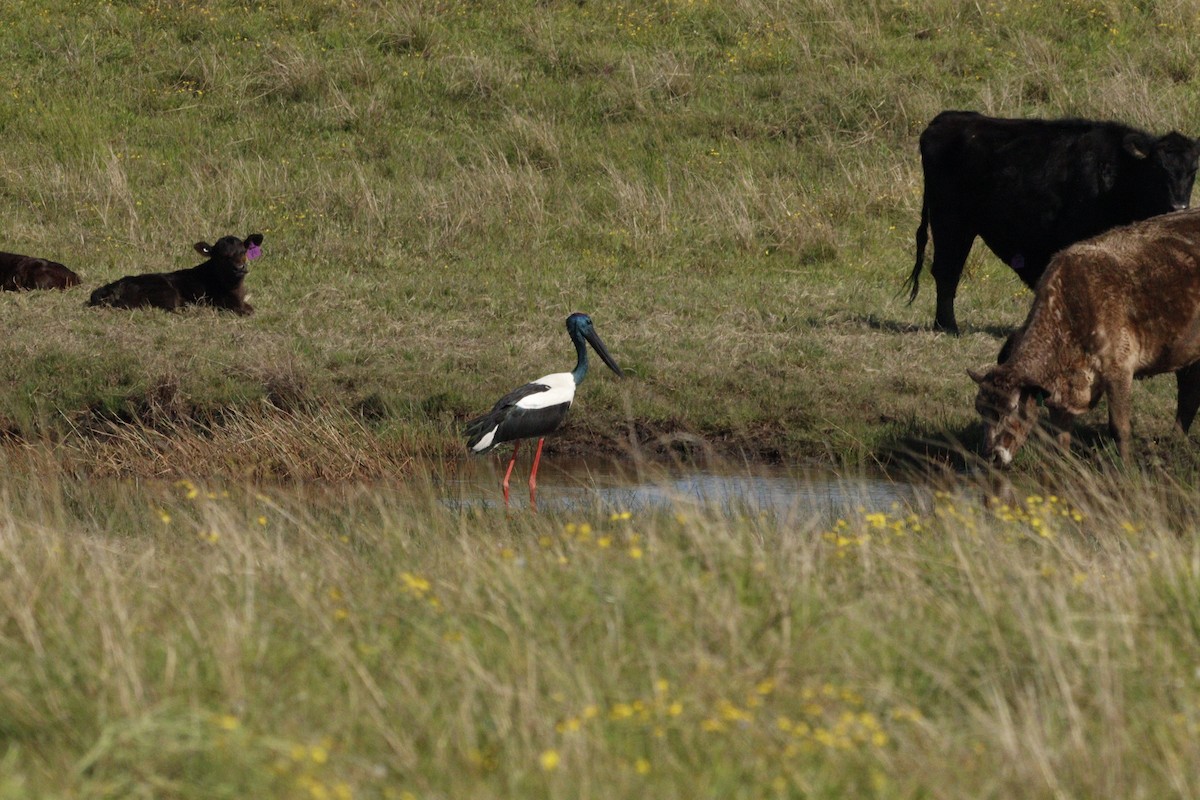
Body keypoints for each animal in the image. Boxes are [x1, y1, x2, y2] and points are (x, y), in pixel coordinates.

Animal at [902, 110, 1195, 333]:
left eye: (1194, 170)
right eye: (1158, 168)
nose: (1178, 206)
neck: (1120, 173)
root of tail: (947, 119)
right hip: (951, 221)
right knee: (946, 271)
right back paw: (948, 326)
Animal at [964, 209, 1200, 465]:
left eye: (1013, 407)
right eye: (980, 409)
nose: (992, 456)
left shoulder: (1119, 371)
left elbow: (1119, 428)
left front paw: (1126, 467)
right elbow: (1060, 434)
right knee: (1188, 392)